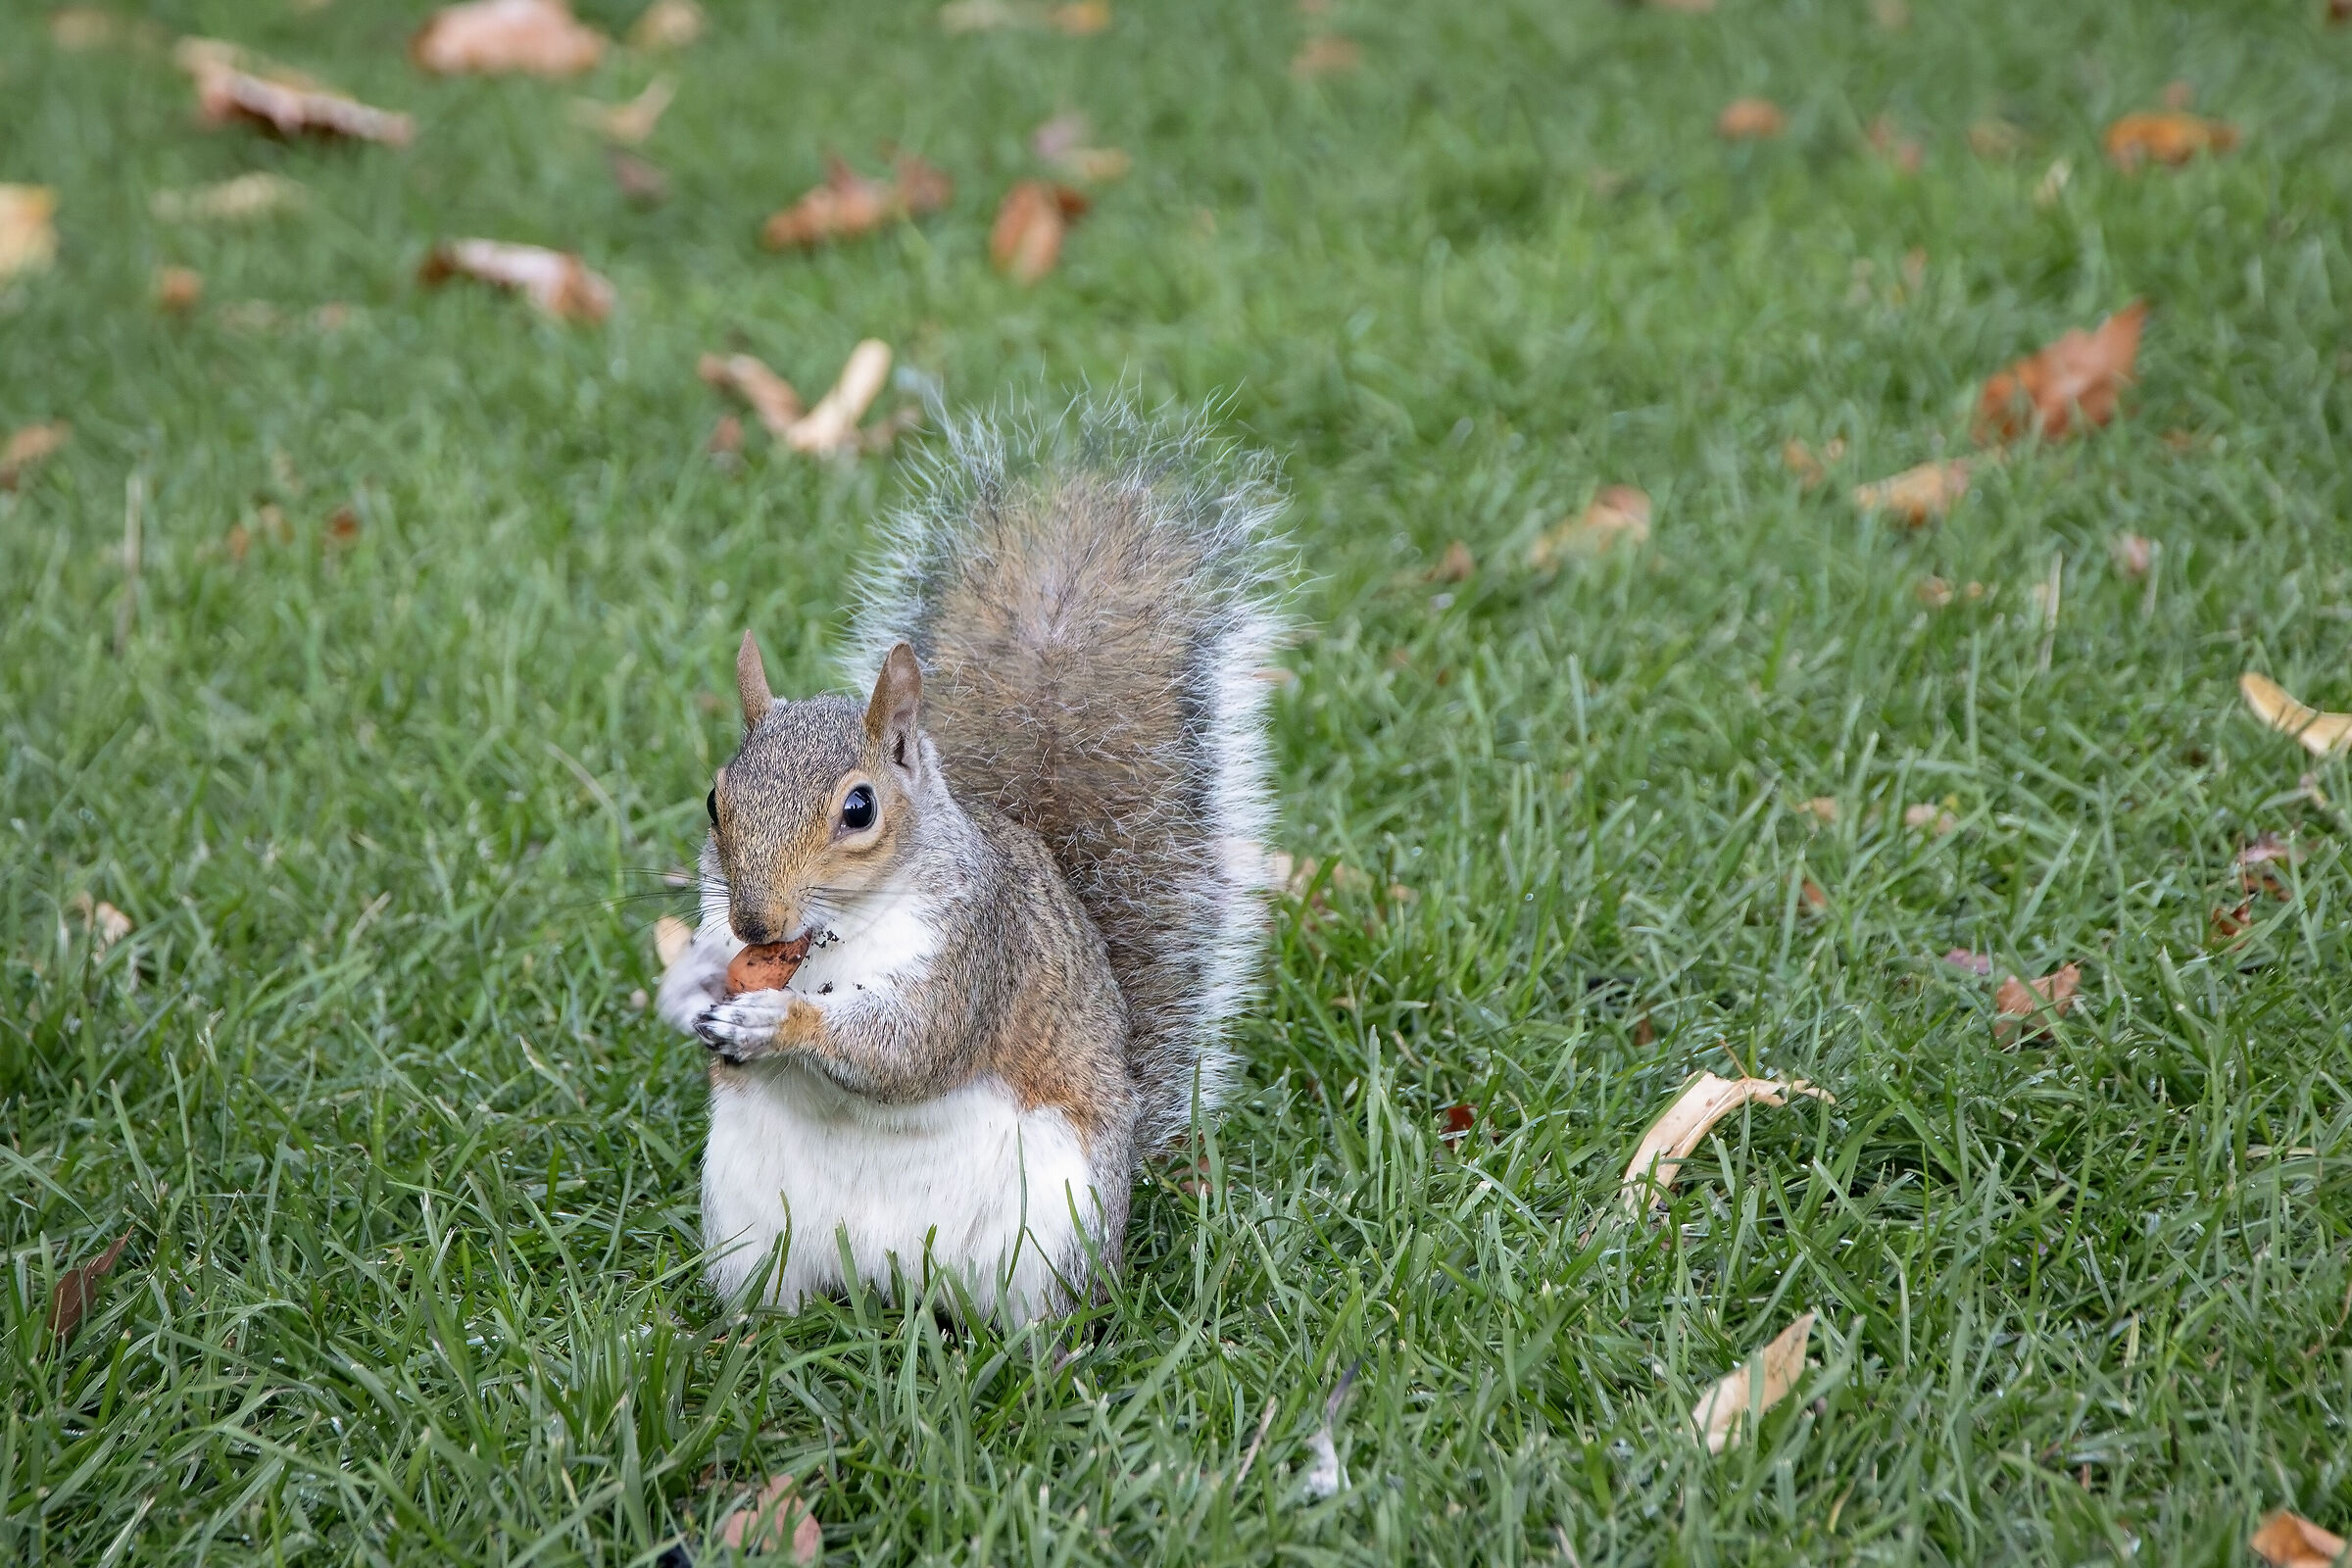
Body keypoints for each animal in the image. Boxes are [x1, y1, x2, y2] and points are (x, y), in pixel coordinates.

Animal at [655, 405, 1288, 1323]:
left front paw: (779, 1022)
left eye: (859, 809)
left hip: (1052, 1230)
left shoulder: (977, 948)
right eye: (714, 798)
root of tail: (890, 1278)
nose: (753, 922)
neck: (837, 937)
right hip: (749, 1226)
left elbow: (911, 1047)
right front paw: (685, 993)